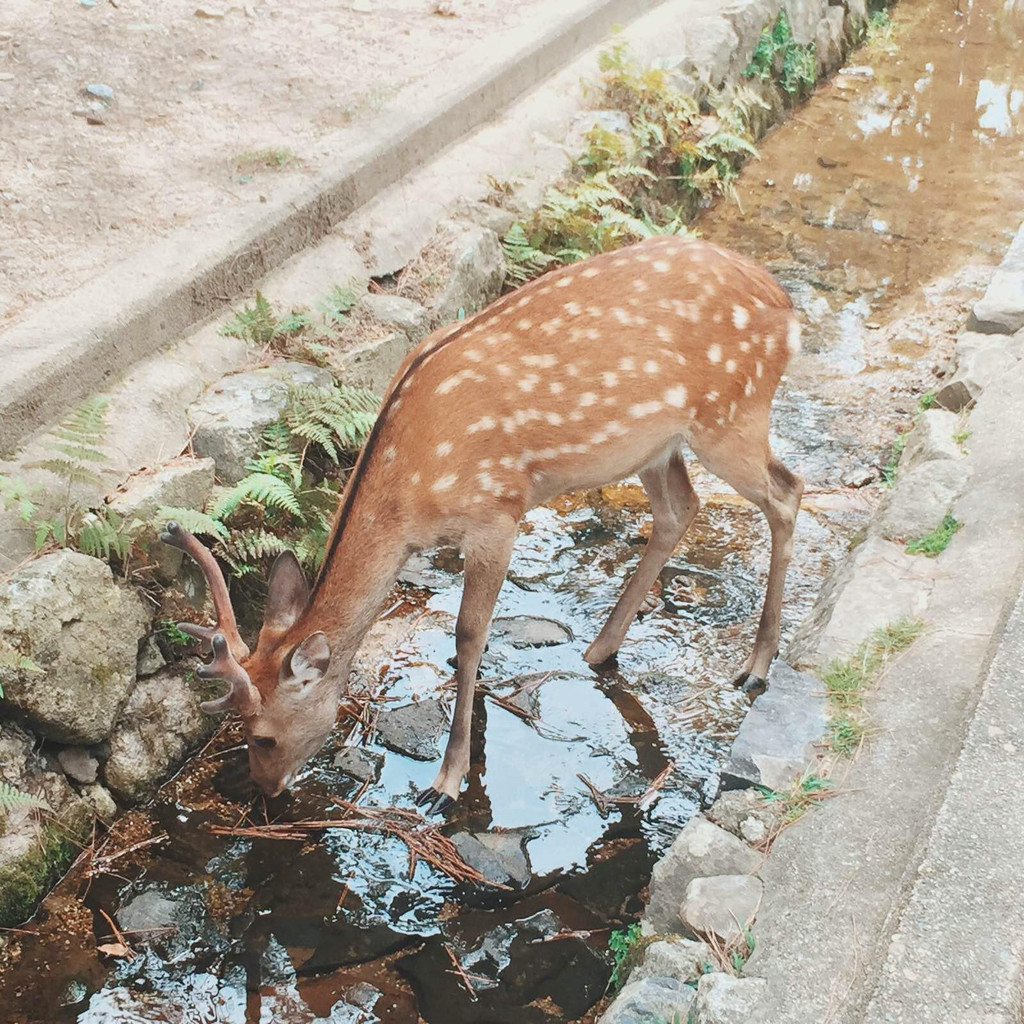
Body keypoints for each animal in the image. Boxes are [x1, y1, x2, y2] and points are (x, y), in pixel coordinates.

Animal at [163, 234, 802, 815]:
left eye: (264, 736)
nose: (265, 790)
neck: (409, 501)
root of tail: (784, 303)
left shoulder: (497, 512)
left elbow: (468, 635)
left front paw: (447, 780)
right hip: (654, 444)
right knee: (681, 508)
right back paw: (601, 648)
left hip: (731, 414)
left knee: (787, 493)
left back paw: (756, 666)